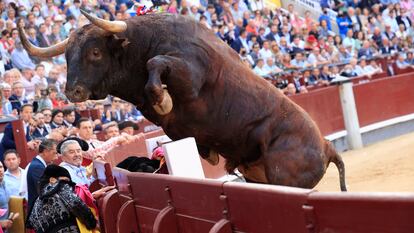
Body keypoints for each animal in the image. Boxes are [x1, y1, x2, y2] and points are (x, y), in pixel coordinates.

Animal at [20, 11, 346, 191]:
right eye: (66, 56)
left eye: (95, 52)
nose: (72, 92)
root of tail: (327, 146)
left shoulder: (190, 75)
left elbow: (157, 63)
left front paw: (163, 99)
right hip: (258, 176)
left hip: (284, 178)